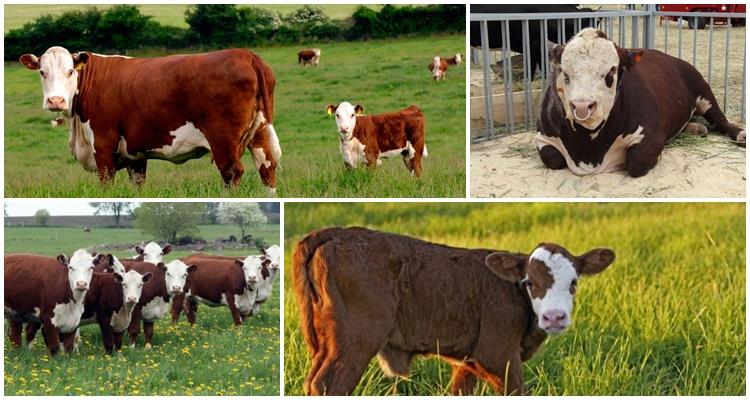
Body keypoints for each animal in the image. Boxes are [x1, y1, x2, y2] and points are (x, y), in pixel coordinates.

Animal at [21, 47, 284, 194]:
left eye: (70, 71)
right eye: (42, 72)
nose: (56, 101)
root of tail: (245, 54)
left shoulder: (104, 146)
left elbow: (106, 183)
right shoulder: (134, 154)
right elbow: (138, 184)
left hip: (223, 140)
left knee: (231, 172)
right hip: (261, 132)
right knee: (267, 167)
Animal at [290, 227, 612, 396]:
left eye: (574, 282)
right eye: (530, 282)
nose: (554, 317)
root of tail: (335, 233)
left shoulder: (469, 361)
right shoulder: (498, 357)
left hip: (326, 346)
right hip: (355, 344)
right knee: (328, 385)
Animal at [536, 27, 744, 177]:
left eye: (611, 71)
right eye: (564, 72)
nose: (581, 106)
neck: (588, 148)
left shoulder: (650, 135)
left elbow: (637, 162)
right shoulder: (542, 137)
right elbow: (552, 159)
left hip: (702, 89)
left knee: (720, 119)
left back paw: (739, 134)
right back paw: (695, 128)